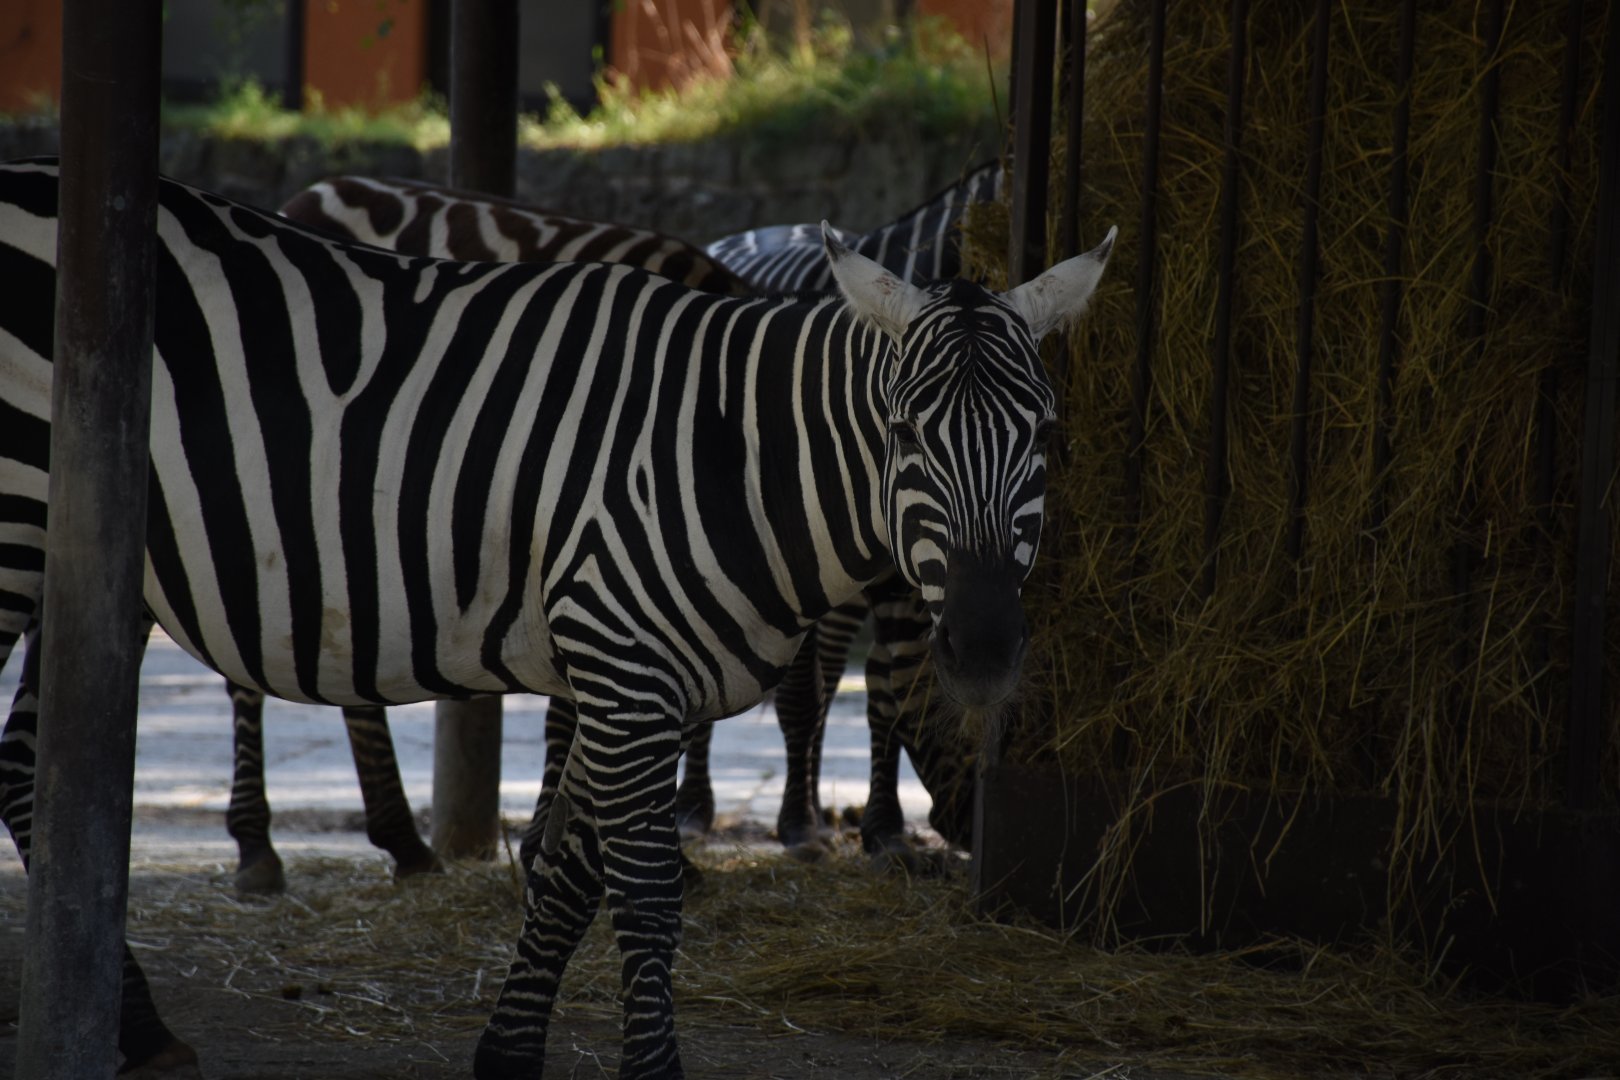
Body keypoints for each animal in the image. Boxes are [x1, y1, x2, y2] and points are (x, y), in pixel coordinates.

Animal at [0, 157, 1114, 1075]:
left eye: (1047, 432)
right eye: (901, 429)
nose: (985, 646)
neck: (732, 457)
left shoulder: (628, 675)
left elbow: (574, 874)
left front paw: (508, 1051)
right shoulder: (623, 665)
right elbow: (644, 893)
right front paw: (650, 1070)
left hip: (76, 565)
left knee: (25, 765)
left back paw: (142, 1025)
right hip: (19, 530)